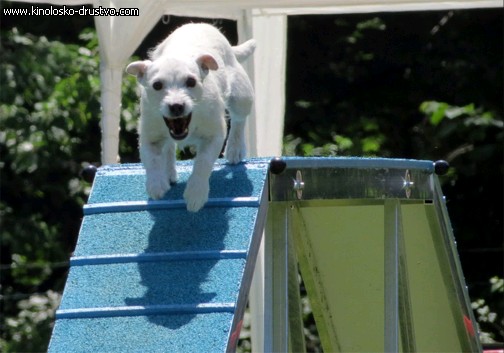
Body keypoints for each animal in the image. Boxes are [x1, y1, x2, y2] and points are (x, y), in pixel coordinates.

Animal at [124, 24, 254, 212]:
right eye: (157, 85)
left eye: (191, 82)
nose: (176, 105)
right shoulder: (150, 136)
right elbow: (152, 160)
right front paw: (156, 184)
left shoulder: (213, 136)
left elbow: (203, 162)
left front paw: (195, 193)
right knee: (169, 147)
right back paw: (168, 172)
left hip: (241, 96)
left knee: (239, 121)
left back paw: (235, 149)